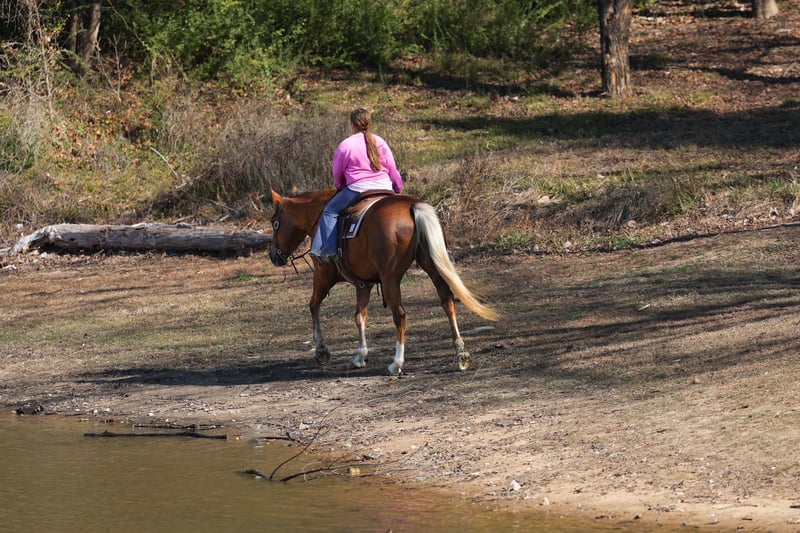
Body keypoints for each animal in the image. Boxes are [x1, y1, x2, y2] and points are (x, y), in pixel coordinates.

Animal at [268, 189, 498, 375]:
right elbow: (360, 316)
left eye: (275, 223)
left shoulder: (323, 275)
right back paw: (461, 354)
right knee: (447, 301)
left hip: (390, 279)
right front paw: (360, 355)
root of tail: (412, 206)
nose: (272, 255)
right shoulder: (363, 284)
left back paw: (397, 363)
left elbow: (314, 305)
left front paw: (321, 350)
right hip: (431, 265)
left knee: (400, 314)